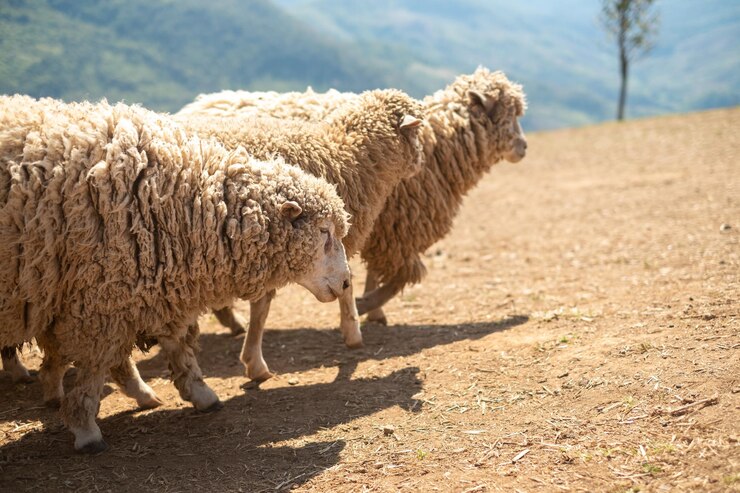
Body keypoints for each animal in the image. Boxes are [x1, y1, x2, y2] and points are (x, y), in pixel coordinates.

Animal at [0, 95, 352, 453]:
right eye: (324, 231)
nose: (346, 282)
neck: (180, 200)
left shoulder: (138, 289)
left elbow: (176, 345)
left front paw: (199, 394)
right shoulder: (100, 301)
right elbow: (95, 368)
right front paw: (86, 428)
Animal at [180, 68, 527, 325]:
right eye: (508, 114)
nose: (524, 147)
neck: (439, 144)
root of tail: (198, 105)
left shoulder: (384, 228)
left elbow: (380, 273)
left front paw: (371, 310)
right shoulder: (398, 230)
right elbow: (402, 276)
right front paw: (368, 304)